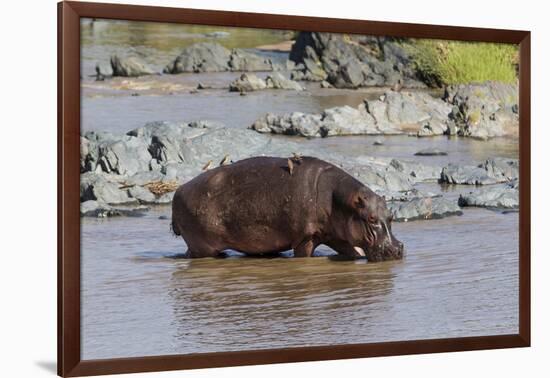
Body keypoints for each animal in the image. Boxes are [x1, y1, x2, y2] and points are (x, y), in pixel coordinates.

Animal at [172, 156, 406, 260]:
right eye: (371, 218)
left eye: (391, 216)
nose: (397, 248)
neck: (340, 201)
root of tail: (179, 190)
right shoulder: (305, 237)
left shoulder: (338, 236)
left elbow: (355, 251)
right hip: (202, 246)